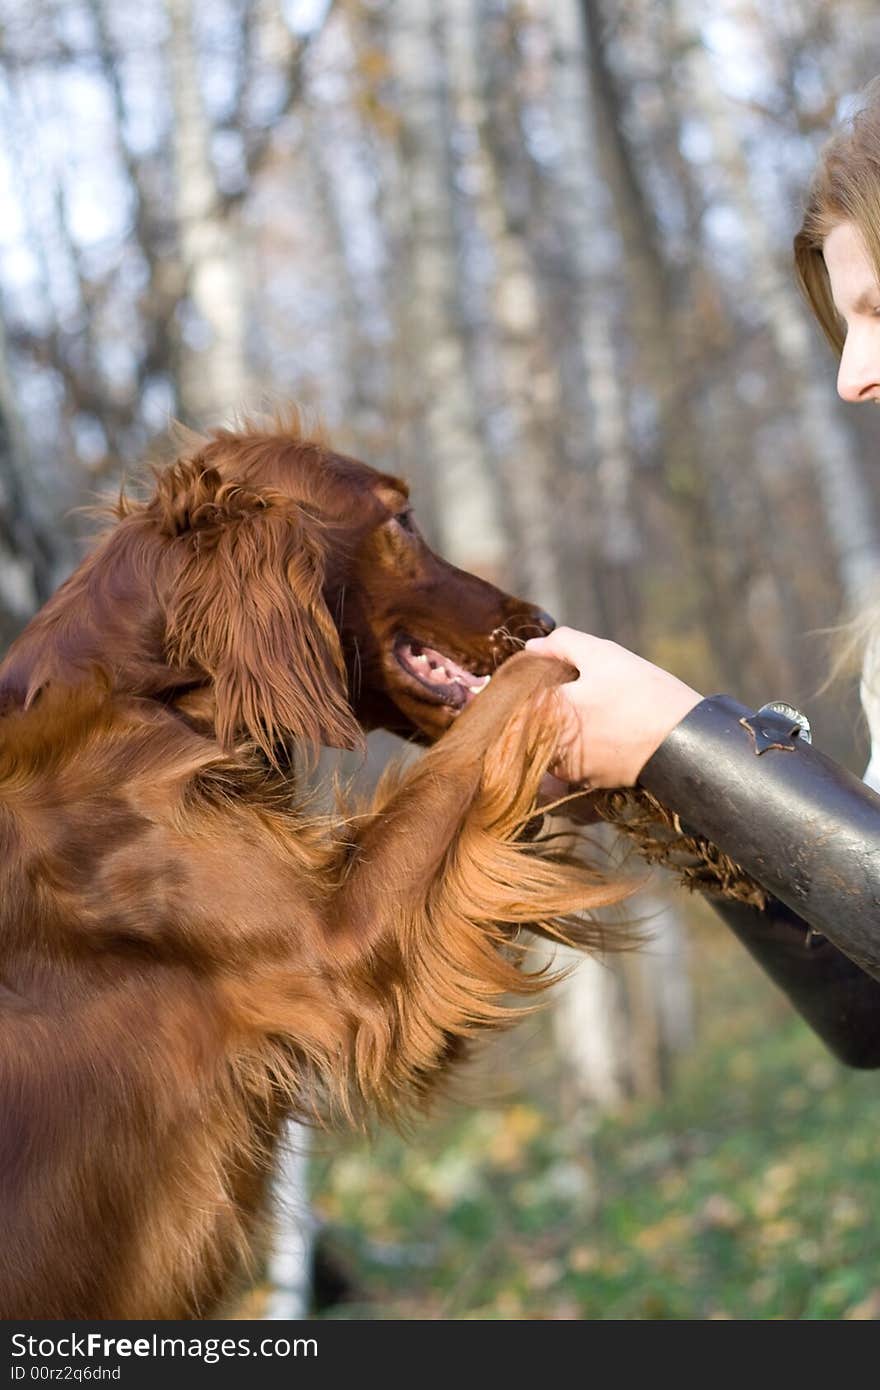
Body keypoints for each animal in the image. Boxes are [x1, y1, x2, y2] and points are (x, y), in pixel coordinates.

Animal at [0, 417, 625, 1317]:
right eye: (402, 520)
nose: (540, 618)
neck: (150, 684)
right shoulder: (341, 942)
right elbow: (494, 717)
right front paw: (579, 671)